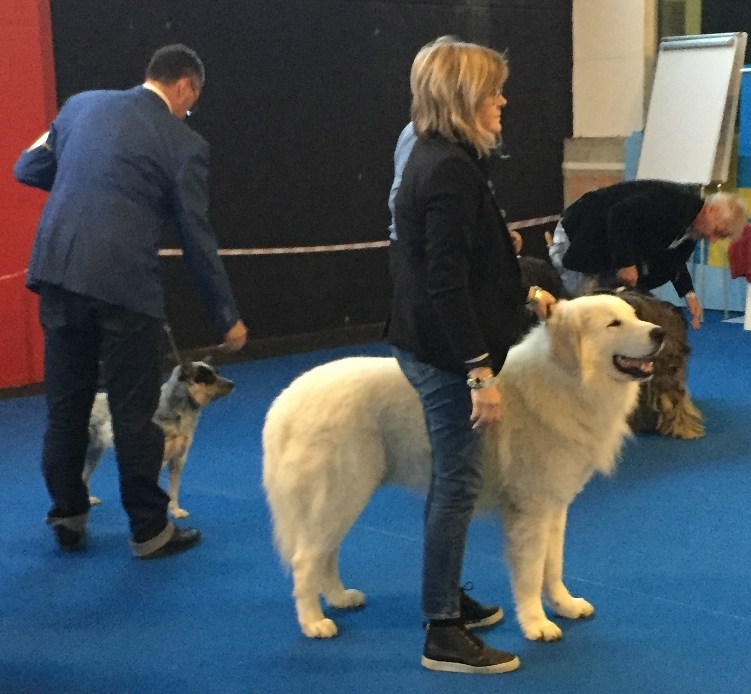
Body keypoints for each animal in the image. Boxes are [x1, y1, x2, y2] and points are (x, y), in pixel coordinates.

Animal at [83, 360, 234, 519]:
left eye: (217, 373)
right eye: (208, 377)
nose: (232, 384)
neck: (176, 410)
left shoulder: (178, 460)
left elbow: (173, 491)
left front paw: (176, 511)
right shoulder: (156, 461)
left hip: (94, 455)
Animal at [262, 295, 664, 641]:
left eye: (634, 316)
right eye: (613, 323)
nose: (659, 332)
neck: (566, 378)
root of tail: (285, 401)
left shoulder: (555, 504)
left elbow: (553, 566)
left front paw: (564, 605)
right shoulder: (530, 509)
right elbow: (531, 572)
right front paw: (536, 624)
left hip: (343, 497)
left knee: (326, 553)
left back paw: (340, 598)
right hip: (342, 492)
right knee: (306, 559)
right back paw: (314, 622)